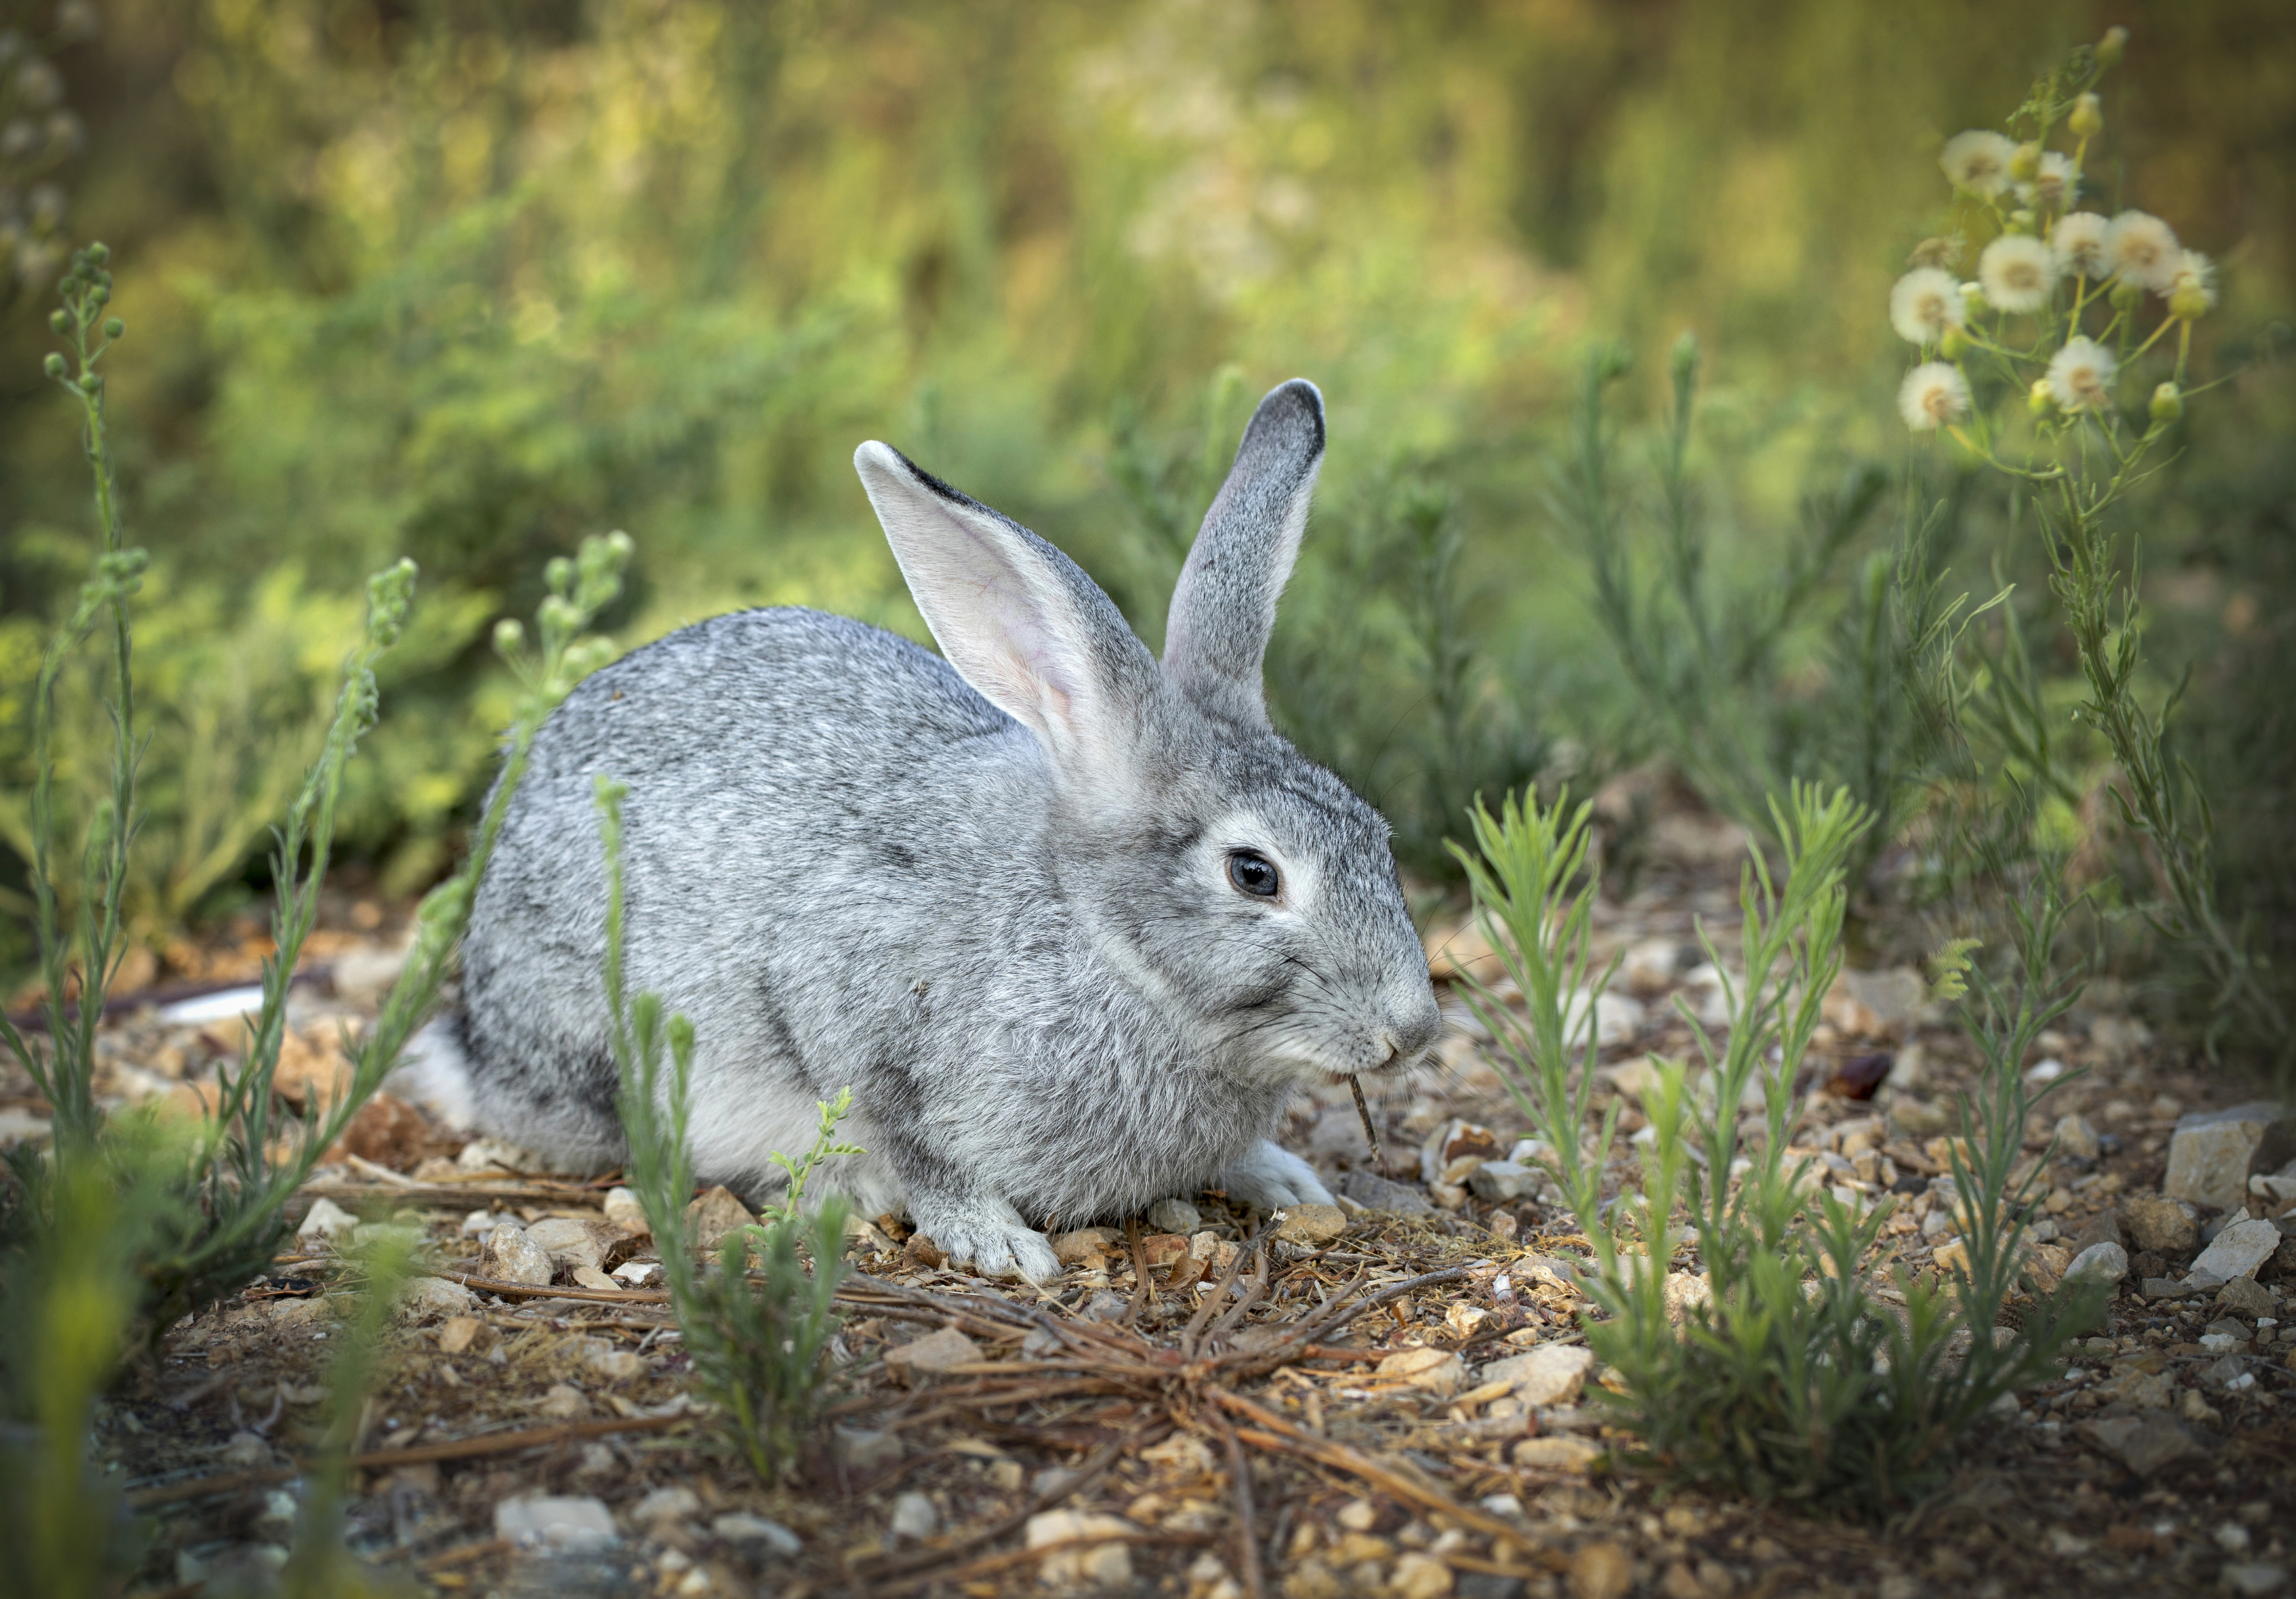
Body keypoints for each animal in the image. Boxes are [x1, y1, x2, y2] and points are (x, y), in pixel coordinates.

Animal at [424, 377, 1442, 1286]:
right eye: (1253, 873)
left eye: (1374, 833)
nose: (1414, 1030)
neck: (1098, 938)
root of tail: (482, 1049)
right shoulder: (845, 994)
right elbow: (912, 1142)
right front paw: (996, 1242)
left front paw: (1285, 1177)